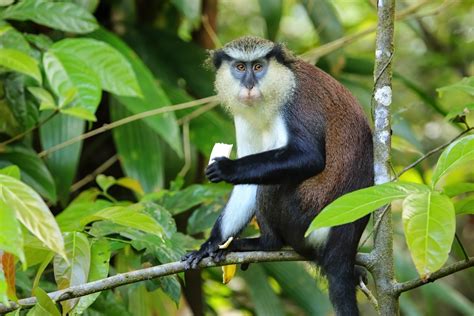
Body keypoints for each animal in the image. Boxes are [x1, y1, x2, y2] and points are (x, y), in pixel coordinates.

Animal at [183, 35, 372, 316]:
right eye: (240, 67)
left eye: (258, 66)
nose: (249, 85)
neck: (279, 84)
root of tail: (343, 241)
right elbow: (246, 186)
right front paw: (211, 245)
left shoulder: (297, 104)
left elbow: (309, 157)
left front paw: (227, 169)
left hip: (303, 220)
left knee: (272, 186)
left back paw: (265, 244)